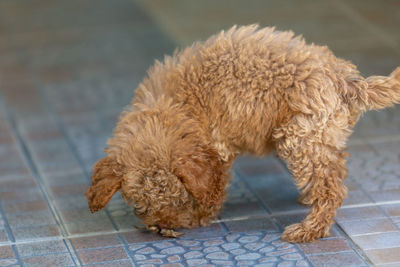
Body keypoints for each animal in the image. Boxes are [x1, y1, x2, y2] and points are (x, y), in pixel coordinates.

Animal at [85, 24, 400, 243]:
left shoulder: (217, 147)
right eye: (140, 204)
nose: (162, 228)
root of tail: (344, 79)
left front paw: (202, 215)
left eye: (179, 199)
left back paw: (309, 229)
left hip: (299, 137)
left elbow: (213, 186)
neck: (173, 107)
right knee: (333, 171)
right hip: (319, 136)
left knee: (331, 188)